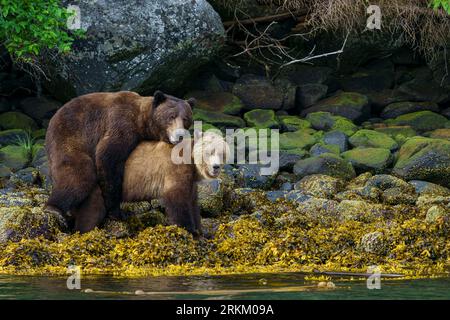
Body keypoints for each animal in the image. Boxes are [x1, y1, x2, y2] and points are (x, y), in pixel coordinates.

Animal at [44, 90, 193, 220]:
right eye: (171, 116)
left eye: (185, 118)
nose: (180, 135)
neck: (141, 120)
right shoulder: (121, 123)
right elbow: (108, 158)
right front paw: (116, 211)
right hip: (70, 139)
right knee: (79, 175)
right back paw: (54, 208)